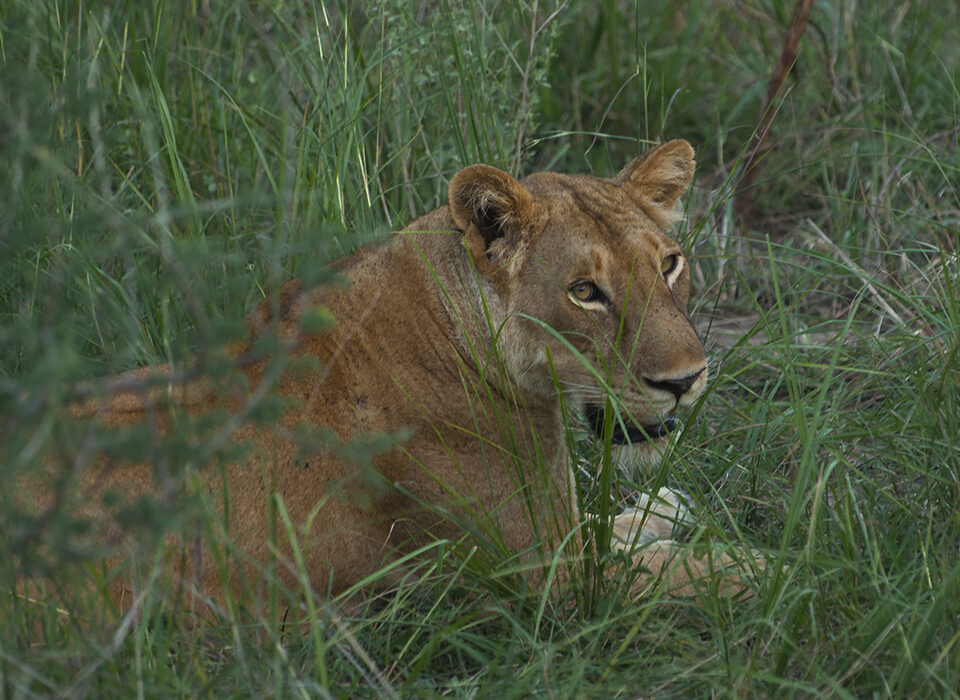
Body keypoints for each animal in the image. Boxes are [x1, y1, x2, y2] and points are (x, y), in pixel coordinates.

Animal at [31, 139, 750, 617]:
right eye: (584, 292)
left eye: (669, 264)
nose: (687, 379)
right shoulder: (542, 578)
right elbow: (678, 573)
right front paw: (754, 566)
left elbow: (616, 525)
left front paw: (664, 505)